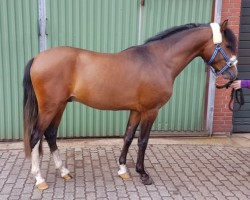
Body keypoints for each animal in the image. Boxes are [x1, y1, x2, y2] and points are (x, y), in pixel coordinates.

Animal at [23, 19, 238, 190]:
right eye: (227, 45)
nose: (233, 76)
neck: (158, 61)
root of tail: (38, 58)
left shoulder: (136, 110)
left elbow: (128, 137)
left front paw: (123, 169)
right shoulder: (151, 111)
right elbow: (143, 141)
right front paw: (143, 174)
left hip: (59, 106)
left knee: (50, 135)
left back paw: (64, 171)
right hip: (50, 107)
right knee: (35, 137)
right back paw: (39, 179)